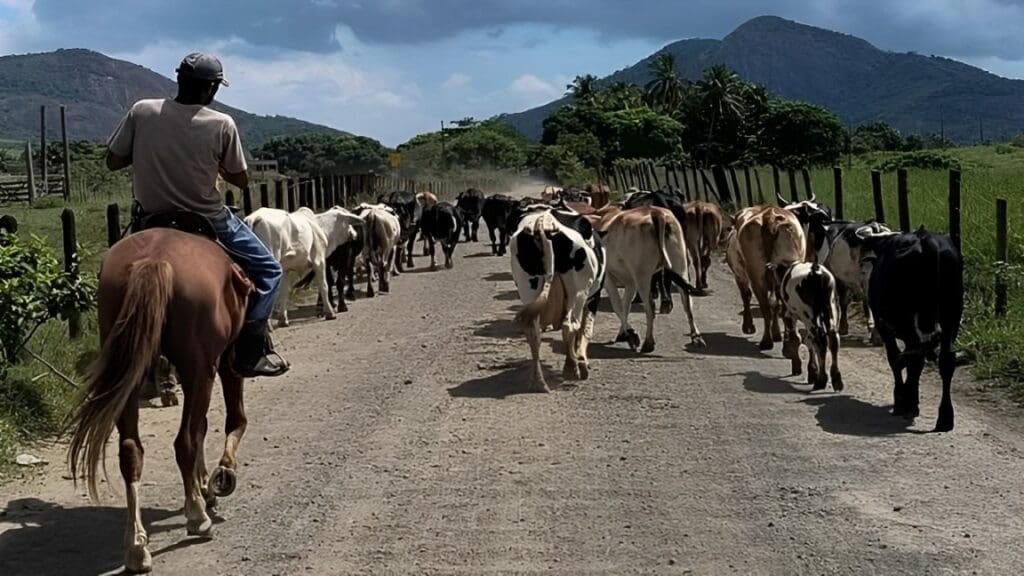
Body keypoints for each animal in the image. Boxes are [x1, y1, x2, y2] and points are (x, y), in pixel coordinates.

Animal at [66, 226, 253, 569]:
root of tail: (153, 261)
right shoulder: (226, 361)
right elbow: (233, 421)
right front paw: (220, 479)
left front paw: (205, 485)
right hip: (198, 370)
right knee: (185, 441)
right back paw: (197, 517)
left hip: (131, 370)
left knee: (131, 451)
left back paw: (137, 545)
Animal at [507, 204, 602, 389]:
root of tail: (543, 222)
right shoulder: (594, 297)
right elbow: (586, 330)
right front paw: (582, 362)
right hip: (577, 292)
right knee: (570, 325)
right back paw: (571, 368)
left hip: (529, 288)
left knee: (533, 333)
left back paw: (538, 381)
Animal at [729, 203, 806, 356]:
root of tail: (769, 215)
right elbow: (775, 304)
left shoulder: (739, 274)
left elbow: (747, 296)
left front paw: (748, 326)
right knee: (783, 308)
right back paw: (790, 343)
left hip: (756, 276)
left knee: (765, 307)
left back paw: (767, 341)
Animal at [778, 261, 843, 389]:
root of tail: (815, 271)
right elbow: (808, 341)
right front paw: (812, 372)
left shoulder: (789, 315)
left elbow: (795, 339)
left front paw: (798, 366)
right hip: (832, 308)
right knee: (832, 339)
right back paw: (836, 380)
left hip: (808, 313)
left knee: (820, 341)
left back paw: (821, 380)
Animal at [860, 224, 962, 430]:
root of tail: (927, 241)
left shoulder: (884, 327)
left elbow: (895, 359)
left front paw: (902, 399)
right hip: (951, 317)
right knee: (945, 360)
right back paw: (945, 417)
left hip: (908, 320)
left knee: (915, 355)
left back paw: (908, 402)